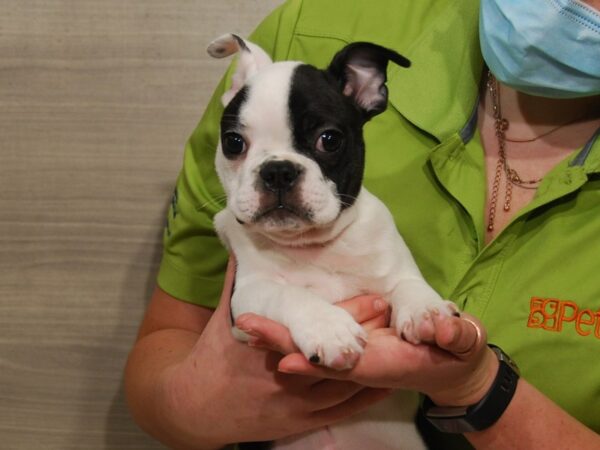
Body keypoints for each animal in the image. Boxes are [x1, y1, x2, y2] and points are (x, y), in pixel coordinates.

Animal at [209, 35, 458, 370]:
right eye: (233, 143)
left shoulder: (394, 267)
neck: (313, 243)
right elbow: (287, 293)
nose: (278, 171)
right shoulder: (246, 295)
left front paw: (428, 309)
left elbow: (408, 283)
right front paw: (329, 327)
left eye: (329, 140)